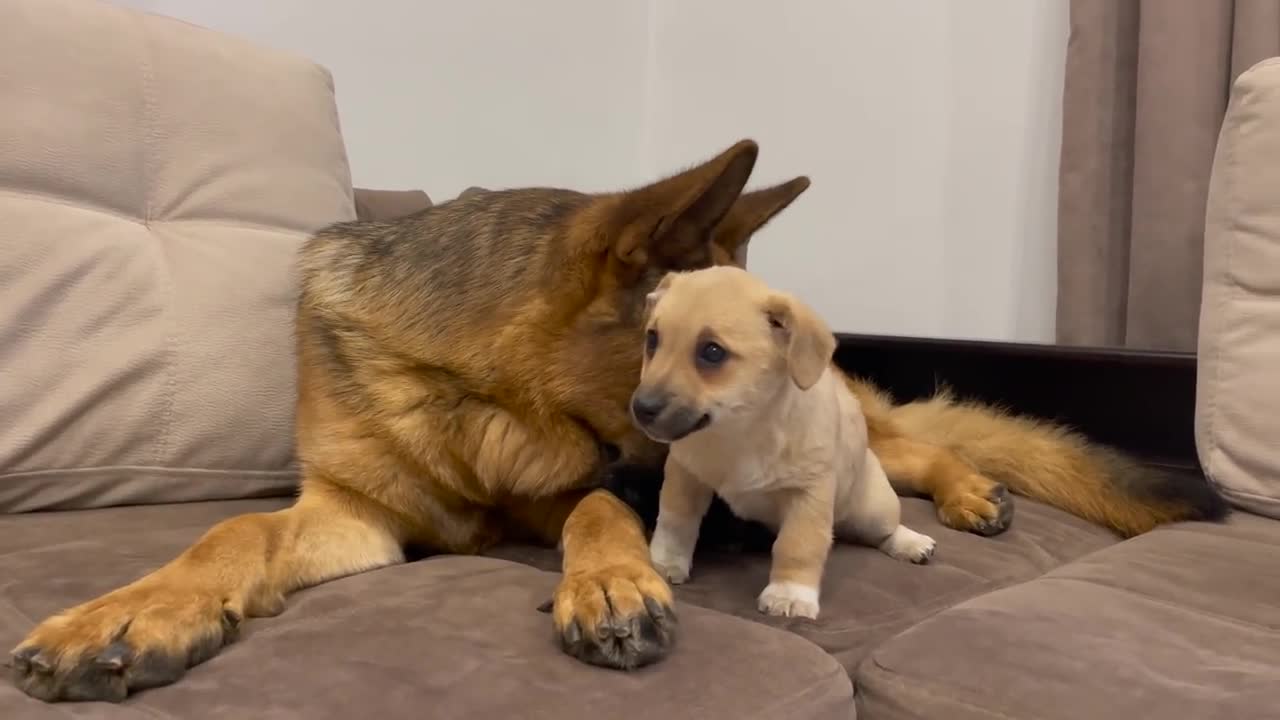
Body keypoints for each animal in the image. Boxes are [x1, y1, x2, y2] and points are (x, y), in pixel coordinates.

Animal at [634, 263, 936, 617]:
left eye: (712, 352)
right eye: (652, 339)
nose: (641, 409)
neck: (739, 432)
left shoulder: (808, 495)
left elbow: (798, 545)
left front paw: (790, 594)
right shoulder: (685, 476)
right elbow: (674, 521)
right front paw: (664, 563)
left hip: (874, 510)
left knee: (884, 530)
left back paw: (911, 542)